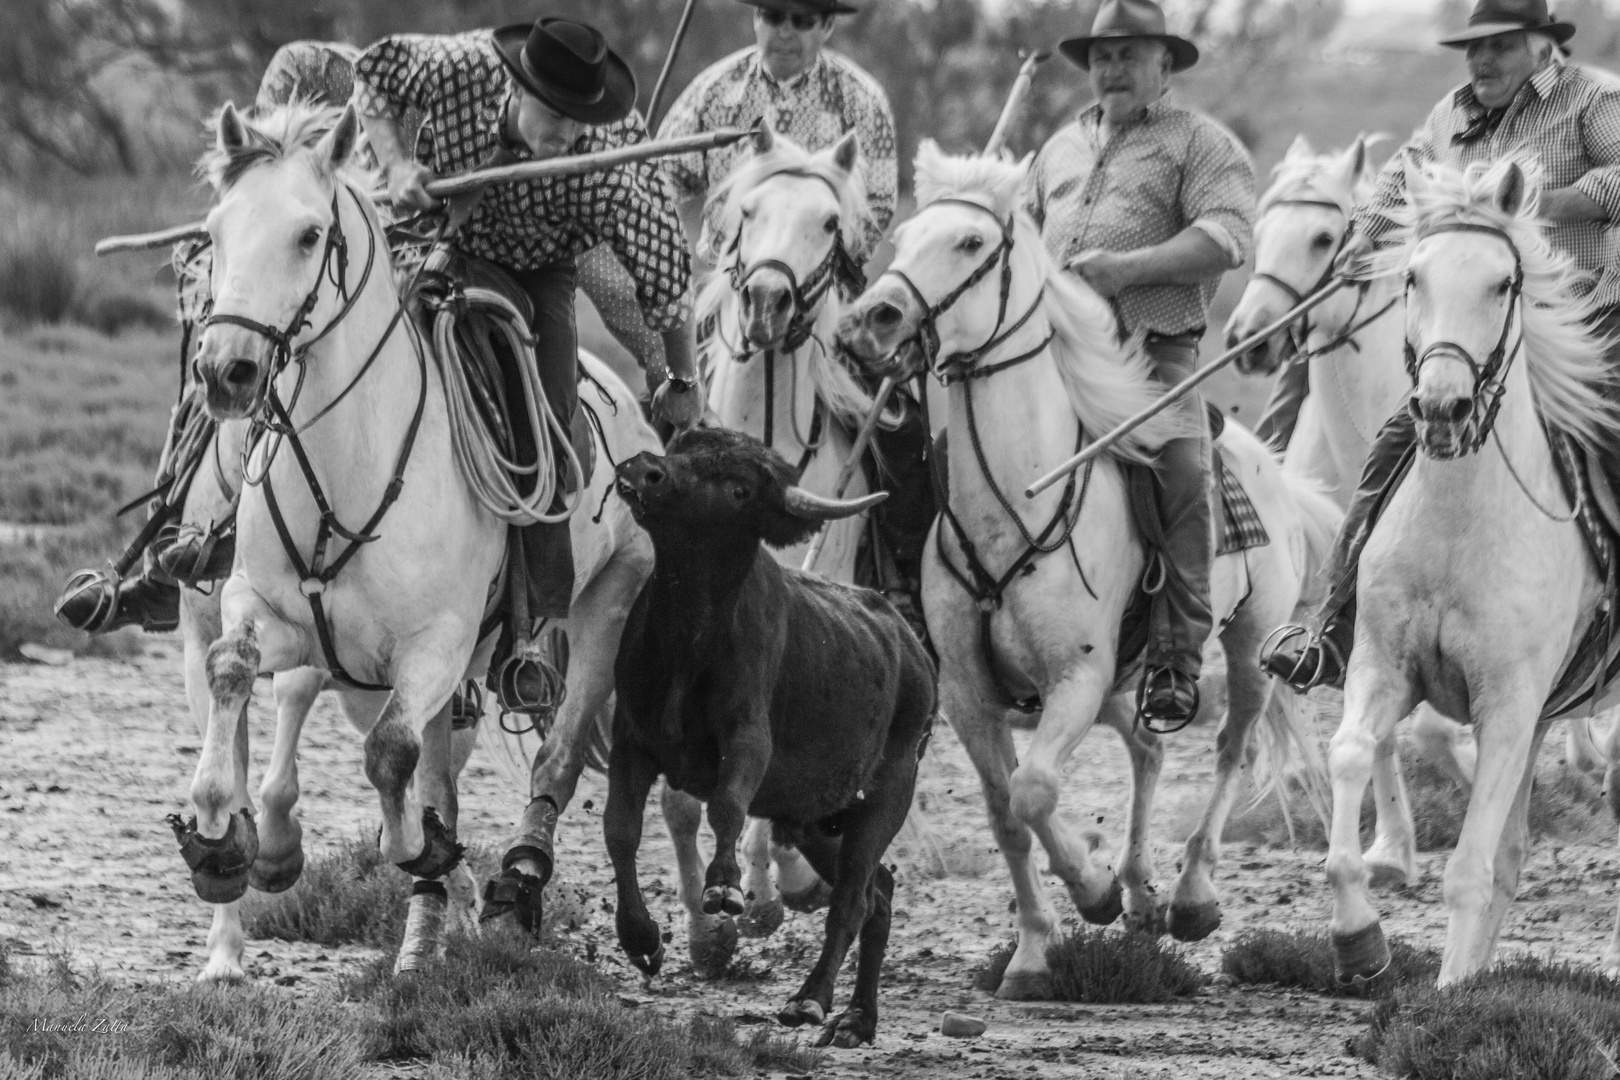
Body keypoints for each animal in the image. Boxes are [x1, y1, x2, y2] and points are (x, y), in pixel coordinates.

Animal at [179, 101, 657, 977]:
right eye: (217, 231)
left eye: (308, 235)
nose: (227, 371)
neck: (348, 469)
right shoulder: (267, 611)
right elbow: (234, 671)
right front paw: (225, 839)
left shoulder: (434, 646)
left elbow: (391, 757)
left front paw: (415, 849)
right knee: (441, 773)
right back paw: (430, 926)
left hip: (607, 604)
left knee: (558, 754)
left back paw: (517, 876)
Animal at [605, 424, 939, 1049]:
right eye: (683, 446)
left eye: (739, 488)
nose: (642, 470)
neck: (688, 635)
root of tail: (914, 649)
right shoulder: (631, 743)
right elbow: (620, 830)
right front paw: (641, 939)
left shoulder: (747, 740)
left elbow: (727, 806)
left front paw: (725, 888)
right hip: (812, 817)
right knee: (878, 894)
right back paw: (857, 1019)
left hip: (888, 795)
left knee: (852, 900)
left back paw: (810, 1001)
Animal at [842, 141, 1334, 997]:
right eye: (902, 240)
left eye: (970, 243)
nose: (874, 319)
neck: (1015, 506)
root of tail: (1270, 469)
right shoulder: (969, 696)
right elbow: (1007, 812)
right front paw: (1037, 952)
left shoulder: (1074, 675)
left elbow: (1035, 790)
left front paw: (1093, 890)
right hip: (1125, 682)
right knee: (1149, 750)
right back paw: (1140, 891)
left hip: (1248, 648)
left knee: (1228, 749)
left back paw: (1188, 896)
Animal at [1321, 158, 1620, 990]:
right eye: (1413, 276)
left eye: (1502, 282)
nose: (1443, 408)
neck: (1459, 526)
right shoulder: (1383, 667)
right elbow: (1351, 754)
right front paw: (1361, 938)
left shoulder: (1509, 709)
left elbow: (1469, 869)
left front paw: (1451, 993)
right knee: (1513, 854)